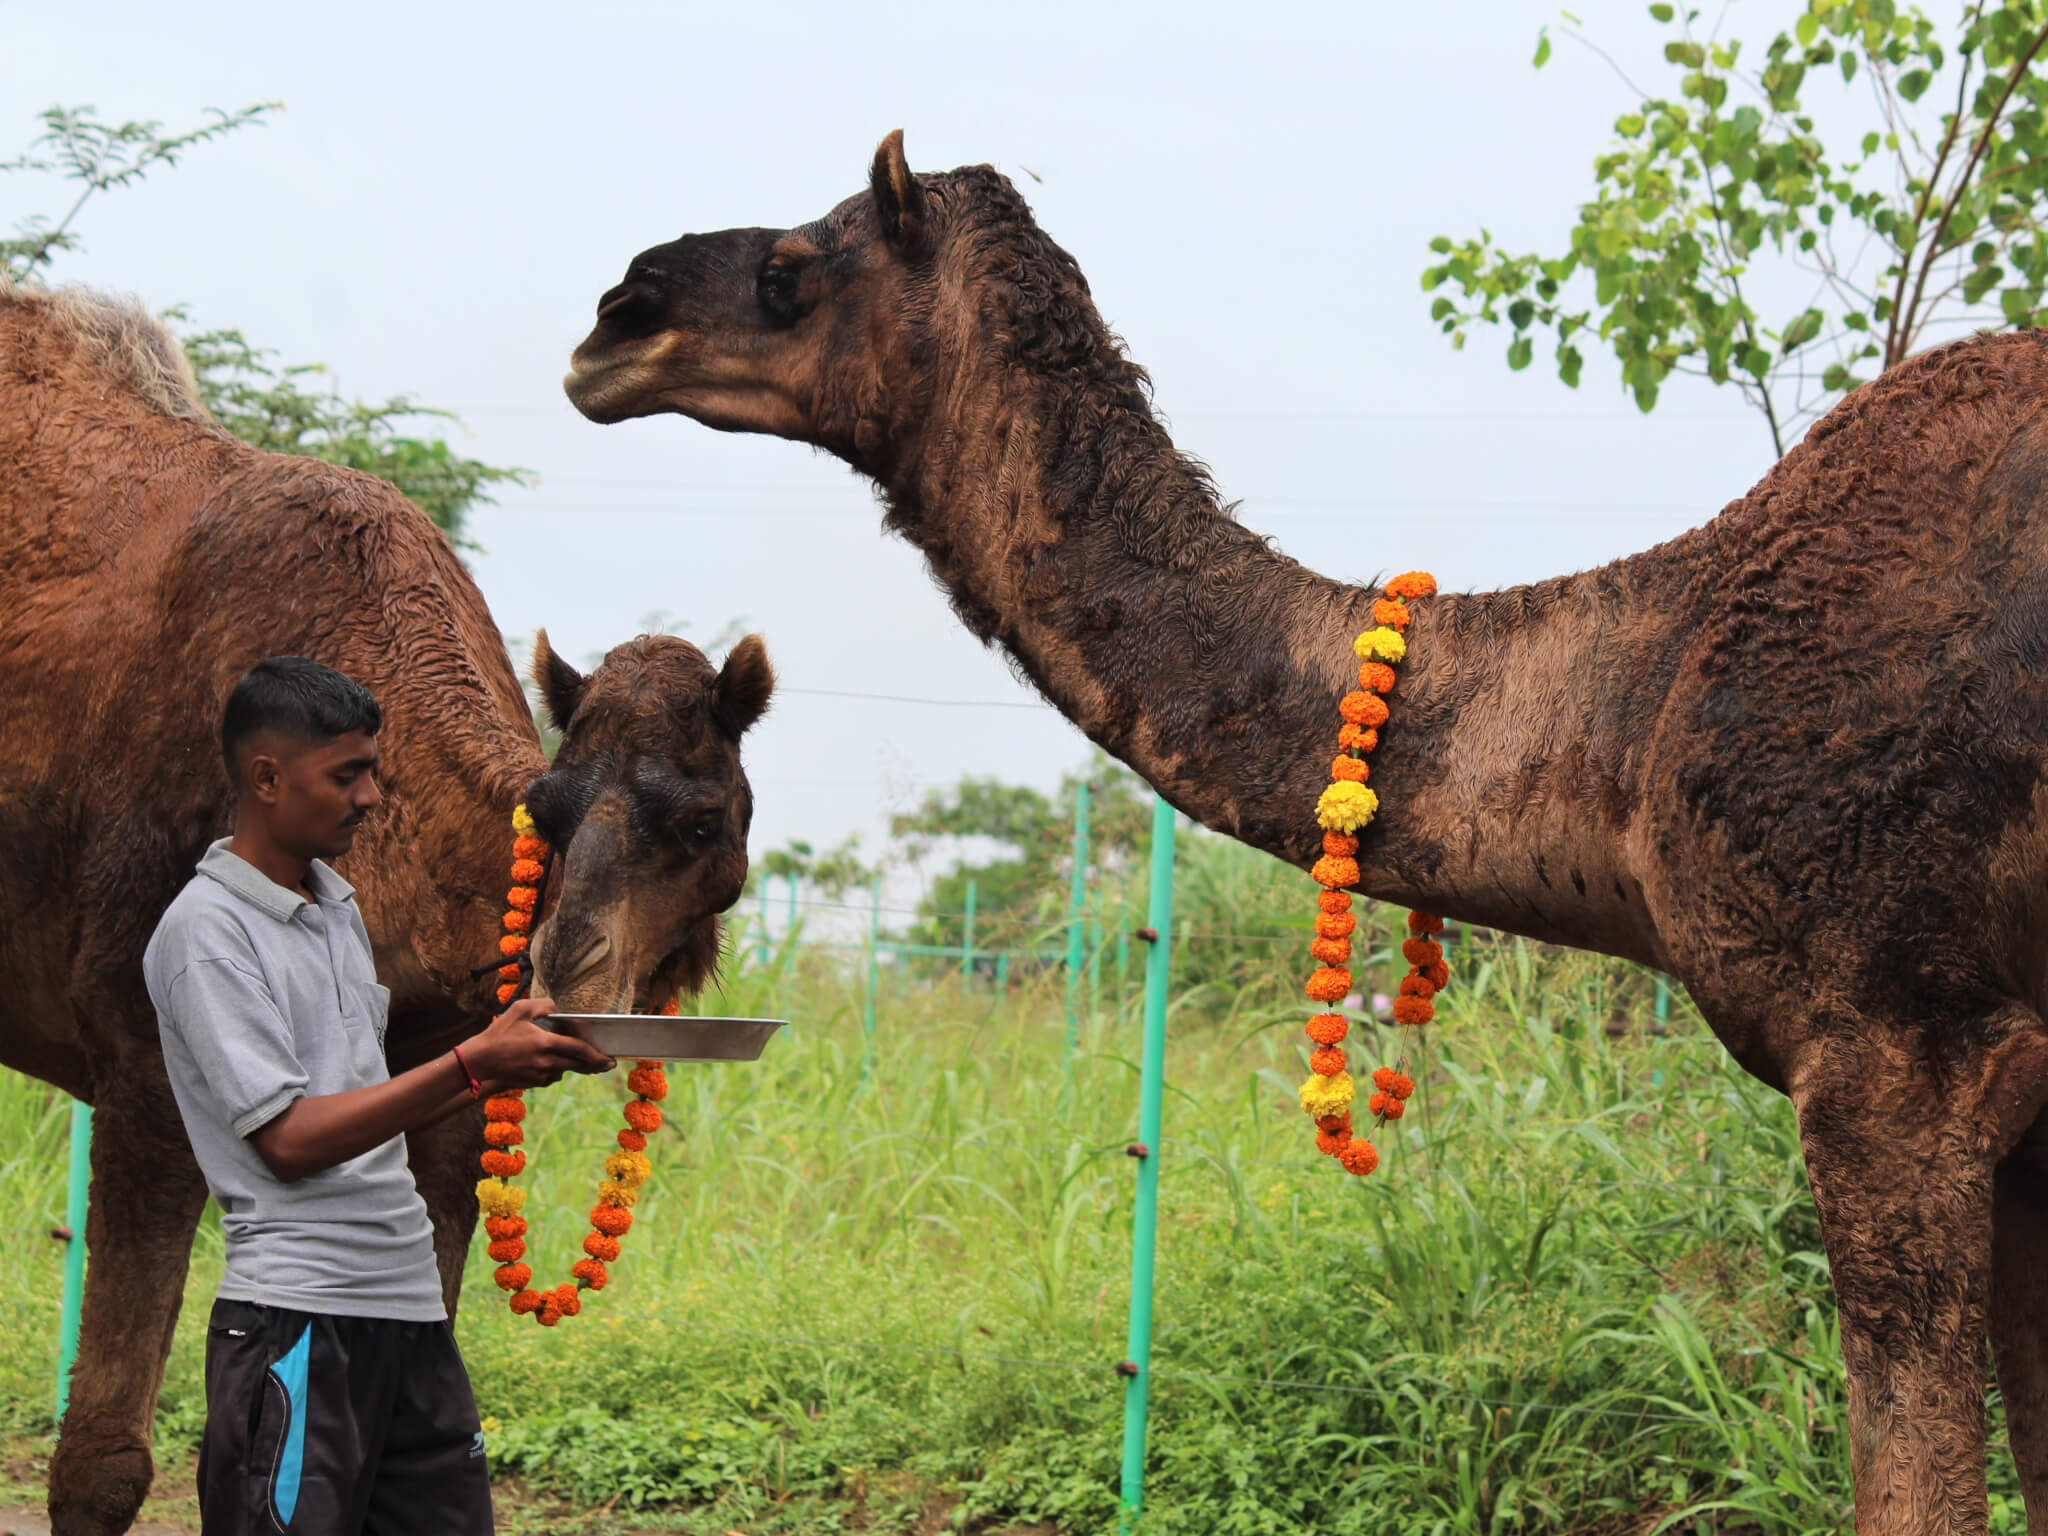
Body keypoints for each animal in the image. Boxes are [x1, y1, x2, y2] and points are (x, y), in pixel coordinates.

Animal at [2, 282, 774, 1531]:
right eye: (550, 810)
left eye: (703, 823)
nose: (571, 971)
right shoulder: (144, 1053)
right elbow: (102, 1461)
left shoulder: (445, 1084)